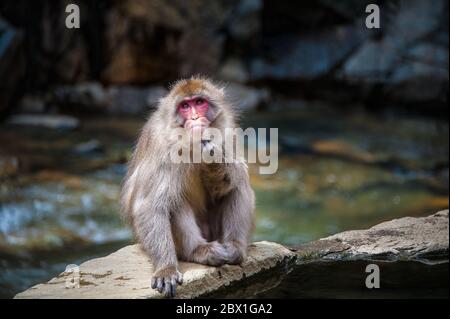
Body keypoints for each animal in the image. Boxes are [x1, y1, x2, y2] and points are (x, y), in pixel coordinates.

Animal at [119, 76, 255, 298]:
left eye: (199, 102)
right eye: (184, 106)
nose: (195, 117)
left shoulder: (228, 131)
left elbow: (228, 182)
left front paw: (212, 156)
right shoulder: (162, 144)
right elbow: (149, 205)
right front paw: (166, 269)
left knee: (239, 182)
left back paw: (235, 247)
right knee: (174, 199)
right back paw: (198, 250)